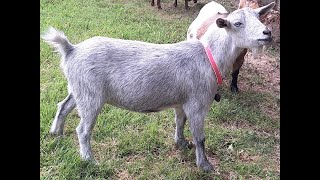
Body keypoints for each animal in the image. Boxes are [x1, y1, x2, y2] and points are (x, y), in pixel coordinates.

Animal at [41, 2, 274, 172]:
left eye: (259, 17)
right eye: (237, 23)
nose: (267, 33)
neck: (209, 56)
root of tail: (71, 49)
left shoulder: (182, 102)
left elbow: (180, 122)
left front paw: (181, 143)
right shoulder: (198, 103)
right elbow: (200, 137)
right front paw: (205, 165)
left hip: (78, 88)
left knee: (63, 106)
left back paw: (56, 133)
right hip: (91, 96)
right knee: (83, 130)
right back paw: (89, 160)